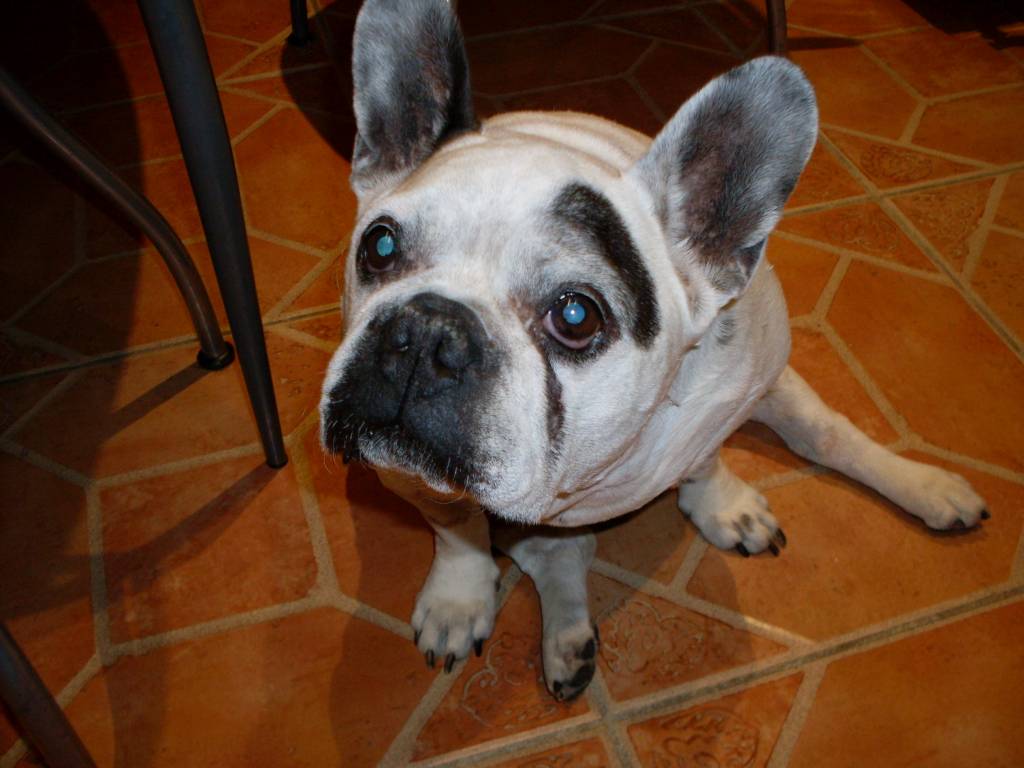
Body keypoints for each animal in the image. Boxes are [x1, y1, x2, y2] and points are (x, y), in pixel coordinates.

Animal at [319, 0, 989, 701]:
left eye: (576, 315)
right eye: (380, 246)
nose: (428, 329)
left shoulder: (732, 398)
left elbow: (710, 459)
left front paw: (721, 503)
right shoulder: (404, 473)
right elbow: (456, 529)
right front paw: (459, 598)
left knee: (826, 434)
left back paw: (927, 487)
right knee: (556, 554)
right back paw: (566, 637)